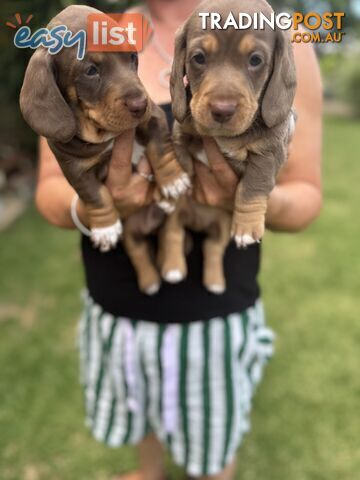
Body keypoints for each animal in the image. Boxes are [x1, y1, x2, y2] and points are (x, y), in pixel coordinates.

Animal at [19, 5, 190, 255]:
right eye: (91, 71)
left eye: (133, 57)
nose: (141, 104)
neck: (103, 132)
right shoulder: (75, 170)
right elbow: (95, 195)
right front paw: (106, 227)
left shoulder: (153, 120)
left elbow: (160, 149)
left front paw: (173, 181)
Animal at [160, 0, 296, 292]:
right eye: (199, 58)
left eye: (255, 60)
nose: (222, 110)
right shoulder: (182, 132)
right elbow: (181, 160)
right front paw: (173, 189)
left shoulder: (268, 153)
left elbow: (252, 187)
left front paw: (246, 227)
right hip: (176, 221)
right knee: (173, 234)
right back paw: (174, 268)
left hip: (221, 229)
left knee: (212, 248)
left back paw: (214, 282)